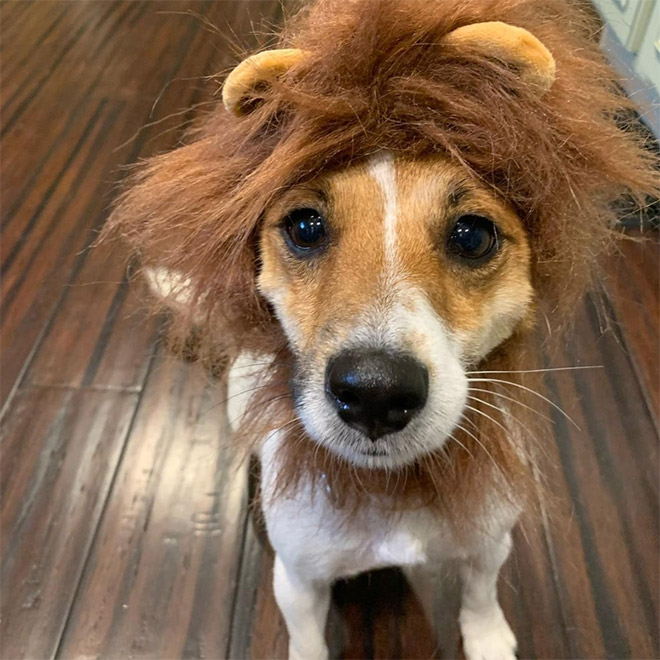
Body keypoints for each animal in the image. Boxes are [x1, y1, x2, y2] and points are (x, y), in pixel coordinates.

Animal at [109, 1, 660, 660]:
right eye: (304, 226)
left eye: (472, 234)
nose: (375, 391)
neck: (394, 488)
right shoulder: (298, 581)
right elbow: (308, 639)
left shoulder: (489, 539)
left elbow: (481, 593)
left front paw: (487, 637)